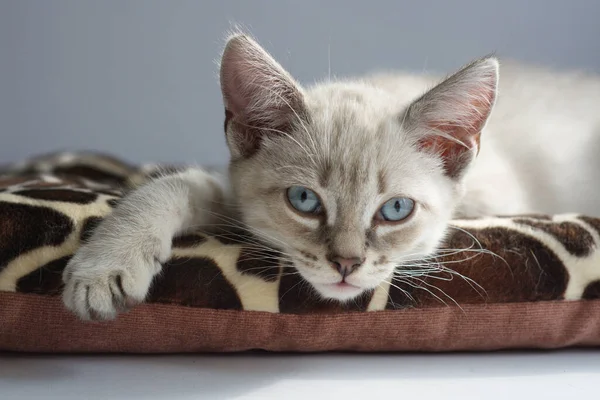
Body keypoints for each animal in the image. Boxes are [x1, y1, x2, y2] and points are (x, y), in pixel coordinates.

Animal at [62, 32, 600, 320]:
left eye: (396, 209)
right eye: (304, 200)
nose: (346, 264)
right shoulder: (234, 193)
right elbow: (174, 184)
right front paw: (103, 269)